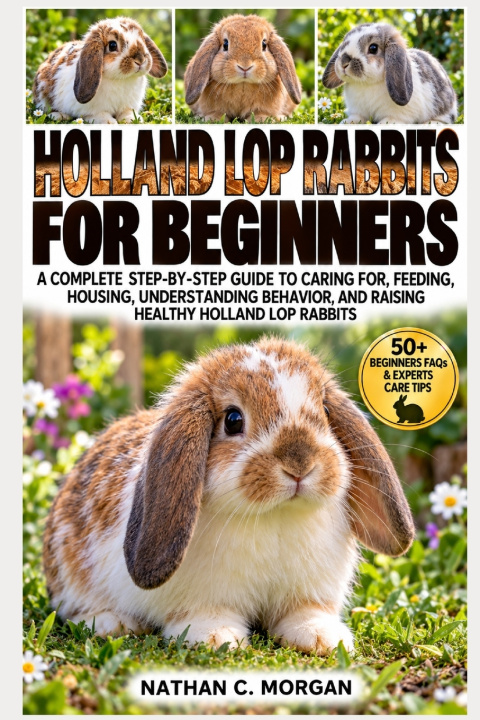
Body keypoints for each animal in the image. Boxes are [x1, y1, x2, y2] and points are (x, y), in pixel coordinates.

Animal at [32, 17, 168, 124]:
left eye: (143, 41)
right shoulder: (92, 110)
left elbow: (127, 112)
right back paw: (58, 116)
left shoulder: (127, 106)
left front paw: (133, 119)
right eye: (112, 45)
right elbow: (98, 115)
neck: (121, 79)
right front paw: (109, 122)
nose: (140, 60)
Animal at [43, 338, 414, 654]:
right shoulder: (202, 599)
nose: (300, 464)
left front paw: (324, 638)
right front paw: (216, 637)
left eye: (324, 412)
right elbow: (205, 615)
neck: (275, 515)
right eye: (233, 420)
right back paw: (112, 623)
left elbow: (305, 614)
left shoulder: (306, 594)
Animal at [322, 23, 457, 124]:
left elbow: (391, 120)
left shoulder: (400, 114)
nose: (344, 62)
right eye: (344, 43)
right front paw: (347, 122)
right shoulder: (358, 111)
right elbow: (357, 117)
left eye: (373, 48)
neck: (367, 84)